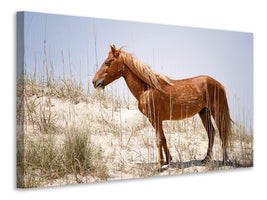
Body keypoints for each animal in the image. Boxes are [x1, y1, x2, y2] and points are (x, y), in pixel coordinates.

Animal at [92, 44, 232, 170]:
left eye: (107, 62)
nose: (94, 82)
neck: (147, 89)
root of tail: (219, 84)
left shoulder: (156, 118)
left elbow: (158, 139)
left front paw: (159, 165)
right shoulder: (154, 120)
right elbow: (163, 138)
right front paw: (168, 160)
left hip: (216, 112)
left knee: (222, 132)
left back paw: (224, 160)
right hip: (204, 112)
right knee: (211, 132)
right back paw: (206, 159)